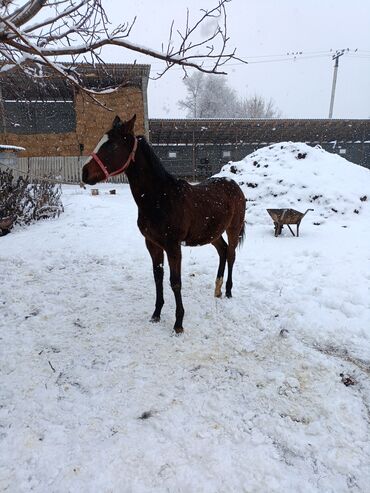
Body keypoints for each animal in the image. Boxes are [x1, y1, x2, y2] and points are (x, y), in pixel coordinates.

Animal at [82, 113, 247, 332]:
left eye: (113, 146)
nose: (84, 173)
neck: (160, 198)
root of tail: (234, 184)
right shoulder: (152, 244)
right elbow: (157, 277)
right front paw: (156, 313)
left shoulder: (173, 246)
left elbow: (175, 282)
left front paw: (178, 323)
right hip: (213, 232)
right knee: (223, 250)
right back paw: (218, 289)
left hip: (233, 228)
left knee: (231, 255)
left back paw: (228, 291)